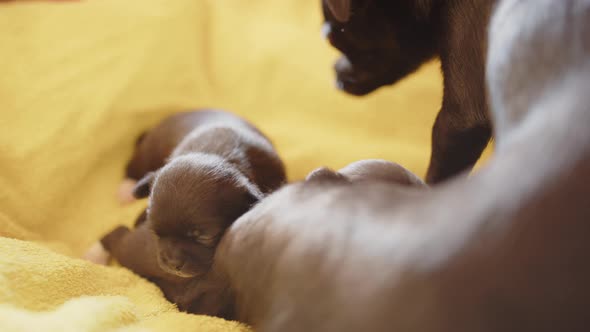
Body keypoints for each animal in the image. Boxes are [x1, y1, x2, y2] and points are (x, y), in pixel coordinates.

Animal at [86, 110, 288, 318]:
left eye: (204, 236)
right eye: (156, 232)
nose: (171, 262)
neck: (218, 156)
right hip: (150, 149)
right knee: (134, 166)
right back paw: (125, 190)